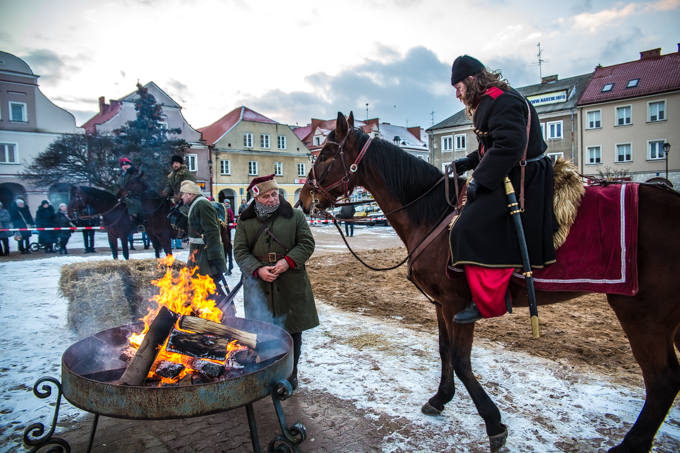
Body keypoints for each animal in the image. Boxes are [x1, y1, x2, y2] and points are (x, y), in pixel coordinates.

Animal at [298, 110, 680, 452]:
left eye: (326, 153)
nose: (303, 199)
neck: (432, 212)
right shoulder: (441, 304)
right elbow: (444, 351)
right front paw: (441, 398)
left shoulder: (456, 304)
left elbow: (461, 360)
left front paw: (493, 422)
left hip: (642, 314)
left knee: (662, 381)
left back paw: (631, 444)